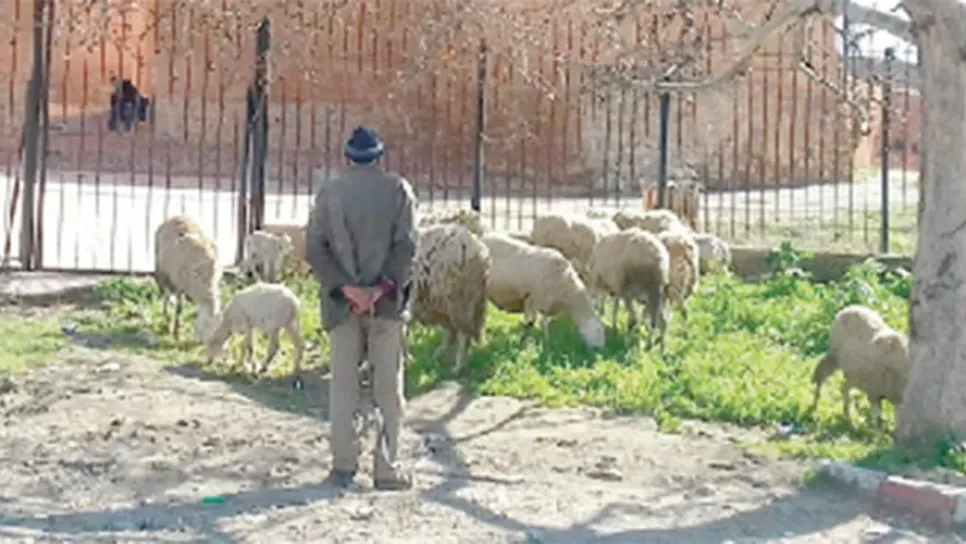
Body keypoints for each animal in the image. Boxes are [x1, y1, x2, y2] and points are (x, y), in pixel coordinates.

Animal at [411, 223, 491, 372]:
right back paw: (441, 355)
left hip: (456, 299)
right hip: (464, 300)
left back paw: (457, 366)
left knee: (462, 334)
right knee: (457, 330)